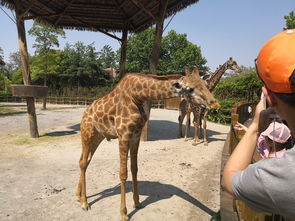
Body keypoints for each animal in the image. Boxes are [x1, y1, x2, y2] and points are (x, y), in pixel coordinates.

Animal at [77, 66, 221, 220]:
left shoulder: (136, 135)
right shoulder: (123, 135)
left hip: (98, 137)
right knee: (83, 162)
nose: (214, 103)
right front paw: (124, 213)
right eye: (190, 89)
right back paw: (85, 203)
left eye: (205, 84)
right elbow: (123, 173)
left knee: (84, 161)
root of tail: (85, 113)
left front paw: (137, 202)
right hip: (87, 134)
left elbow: (134, 168)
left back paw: (78, 196)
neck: (138, 96)